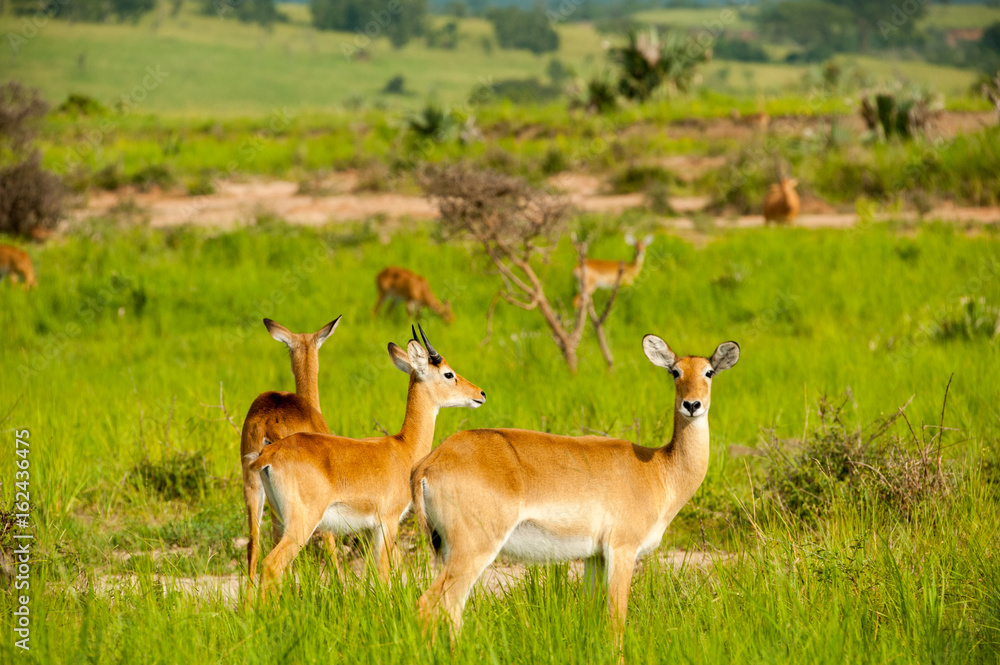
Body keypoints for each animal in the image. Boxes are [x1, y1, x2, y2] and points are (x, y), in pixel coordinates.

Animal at [411, 335, 740, 650]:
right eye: (675, 372)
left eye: (709, 372)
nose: (692, 405)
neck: (659, 469)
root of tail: (429, 462)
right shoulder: (622, 549)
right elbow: (616, 621)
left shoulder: (595, 558)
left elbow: (592, 617)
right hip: (473, 549)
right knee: (430, 604)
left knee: (452, 610)